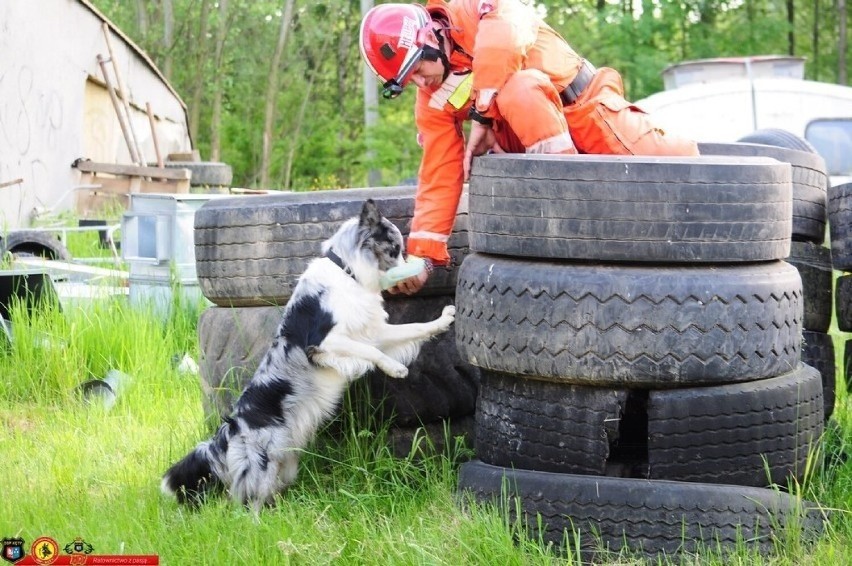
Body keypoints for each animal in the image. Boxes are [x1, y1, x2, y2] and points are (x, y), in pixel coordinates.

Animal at [160, 200, 452, 510]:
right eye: (395, 248)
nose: (419, 273)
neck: (348, 271)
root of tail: (230, 429)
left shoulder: (372, 331)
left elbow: (412, 328)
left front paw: (444, 320)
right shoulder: (326, 342)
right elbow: (370, 350)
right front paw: (395, 368)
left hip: (284, 464)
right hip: (260, 466)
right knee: (246, 504)